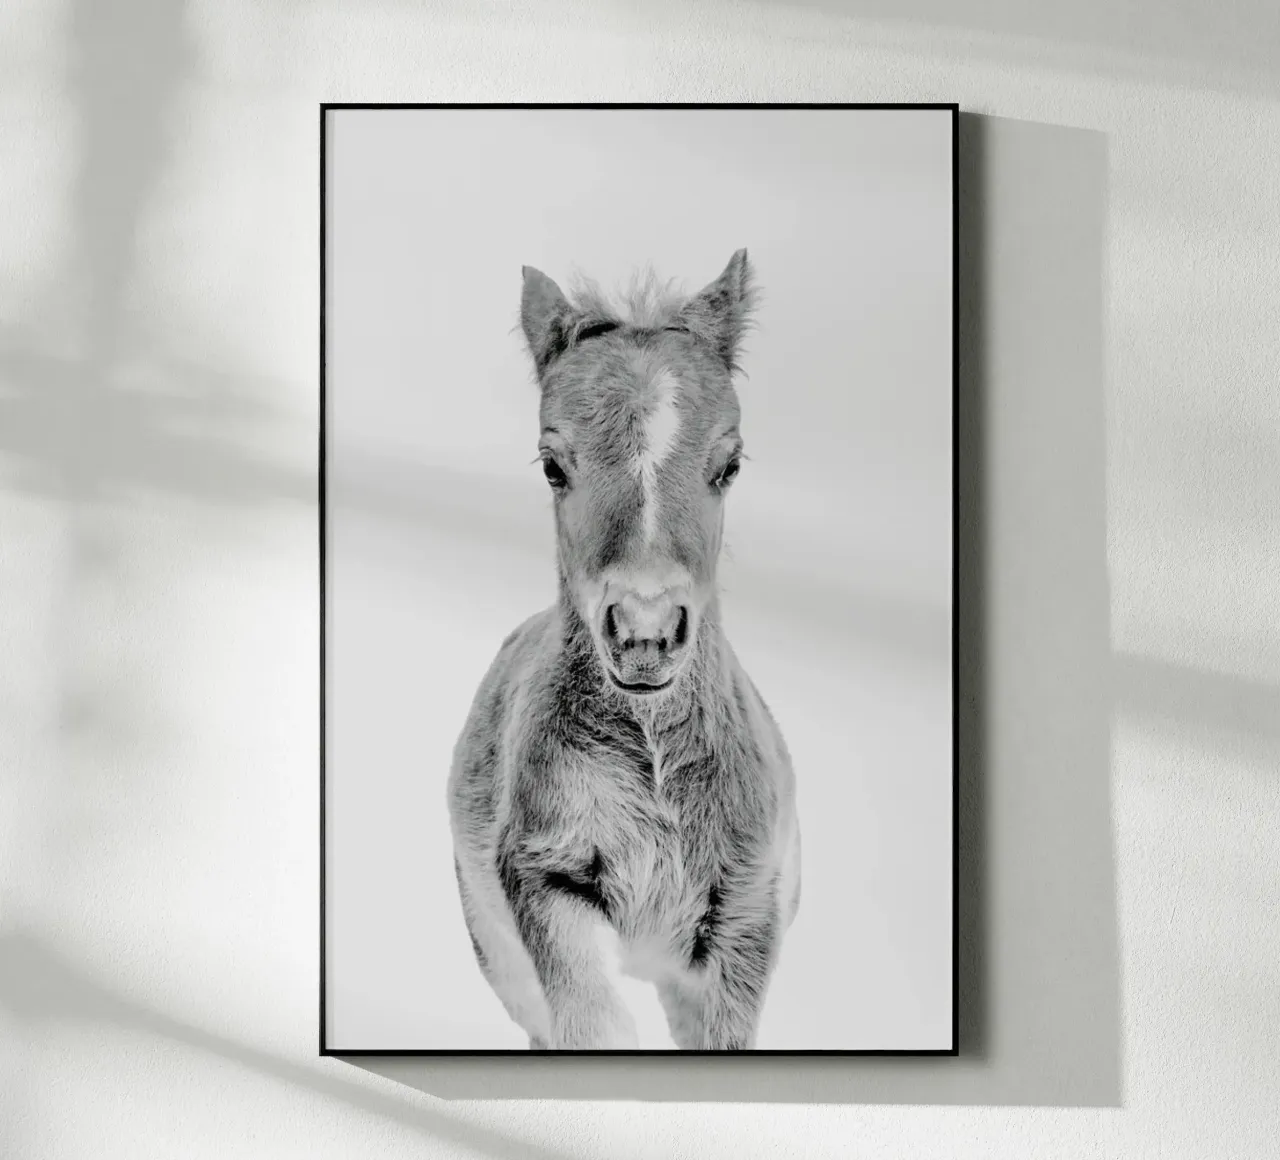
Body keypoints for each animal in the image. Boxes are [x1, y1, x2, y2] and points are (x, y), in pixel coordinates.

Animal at [447, 249, 801, 1050]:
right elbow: (592, 1027)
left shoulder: (745, 923)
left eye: (729, 465)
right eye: (553, 465)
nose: (644, 634)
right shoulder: (545, 884)